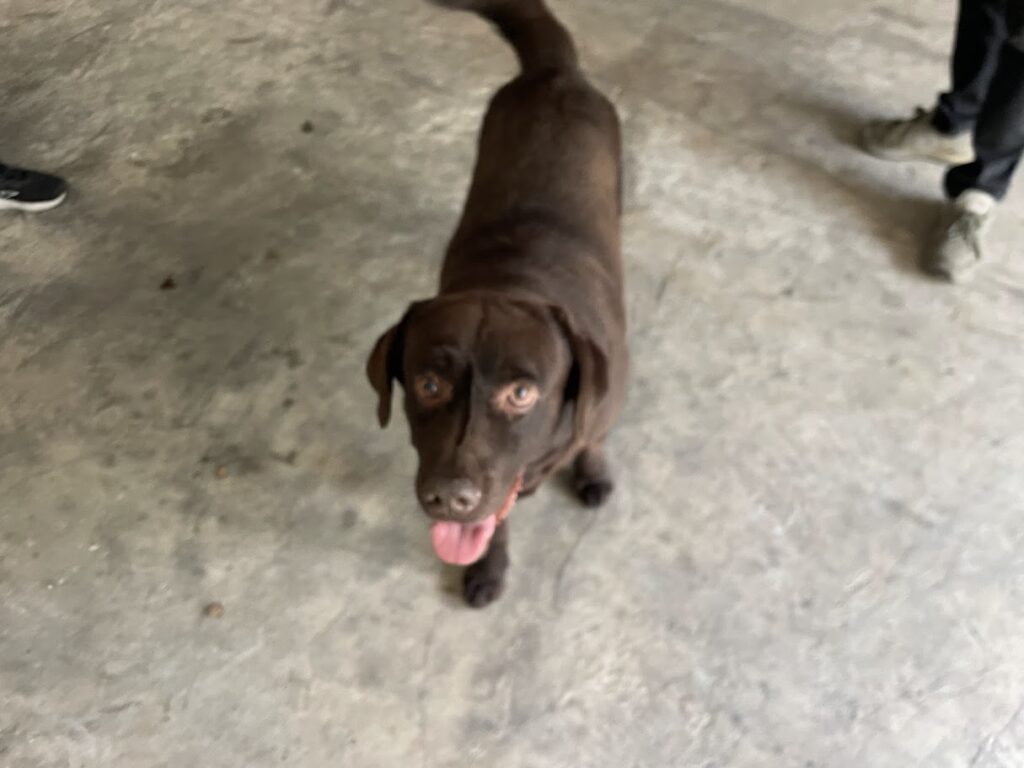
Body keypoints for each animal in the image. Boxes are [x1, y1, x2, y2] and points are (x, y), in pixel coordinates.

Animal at [366, 0, 627, 607]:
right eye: (427, 384)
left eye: (522, 393)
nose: (448, 496)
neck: (516, 282)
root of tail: (556, 73)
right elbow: (496, 521)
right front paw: (489, 565)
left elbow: (595, 437)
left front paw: (593, 471)